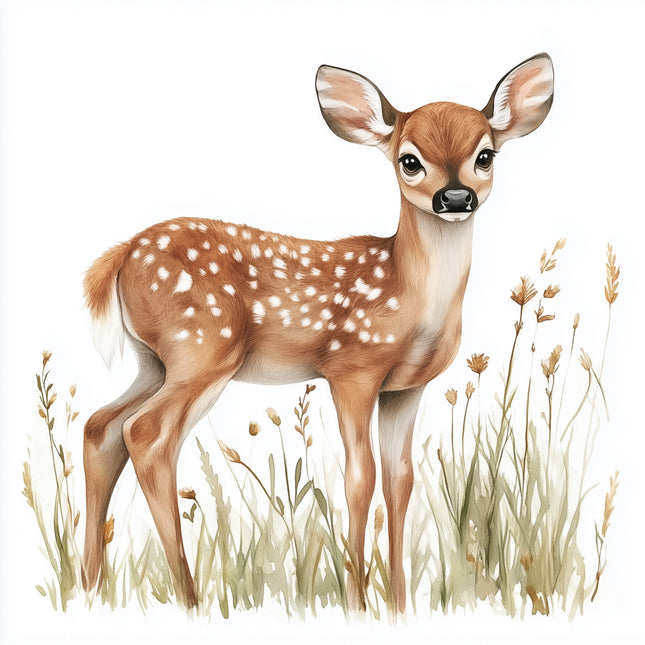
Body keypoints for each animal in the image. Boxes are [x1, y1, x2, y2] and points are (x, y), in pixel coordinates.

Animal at [81, 53, 554, 612]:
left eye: (485, 156)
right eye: (409, 160)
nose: (455, 196)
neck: (410, 297)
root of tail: (122, 256)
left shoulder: (406, 387)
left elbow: (400, 481)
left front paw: (399, 605)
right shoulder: (351, 367)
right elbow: (360, 478)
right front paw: (357, 603)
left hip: (155, 360)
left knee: (101, 426)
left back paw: (88, 586)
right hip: (204, 347)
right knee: (146, 434)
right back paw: (188, 598)